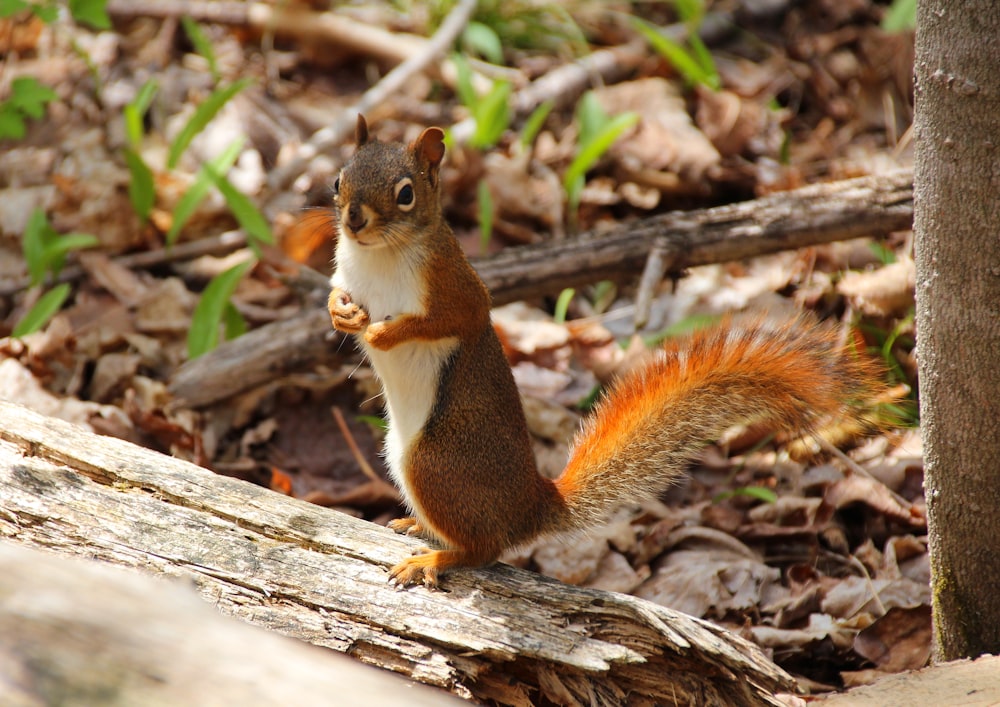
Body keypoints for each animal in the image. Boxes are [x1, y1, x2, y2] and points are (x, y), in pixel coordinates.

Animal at [326, 116, 876, 588]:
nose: (354, 220)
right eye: (338, 180)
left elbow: (449, 319)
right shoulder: (348, 273)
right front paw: (342, 316)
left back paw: (435, 557)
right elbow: (335, 296)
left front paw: (382, 336)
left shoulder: (455, 286)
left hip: (435, 462)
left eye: (405, 194)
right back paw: (417, 527)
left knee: (485, 548)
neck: (378, 256)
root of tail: (530, 506)